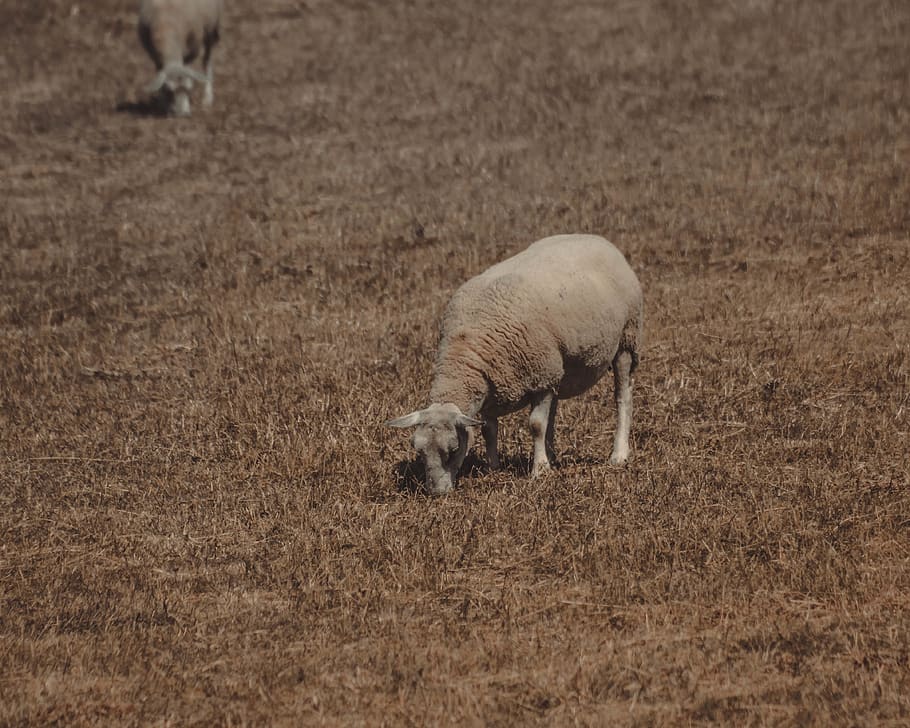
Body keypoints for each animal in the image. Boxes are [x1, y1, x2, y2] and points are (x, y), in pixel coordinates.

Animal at [387, 233, 643, 495]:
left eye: (453, 450)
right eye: (419, 451)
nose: (436, 493)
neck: (467, 353)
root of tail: (597, 239)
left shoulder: (540, 376)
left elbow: (536, 425)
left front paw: (539, 470)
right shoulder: (492, 387)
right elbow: (489, 430)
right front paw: (493, 469)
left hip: (626, 339)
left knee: (622, 398)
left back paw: (618, 454)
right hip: (559, 368)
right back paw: (552, 456)